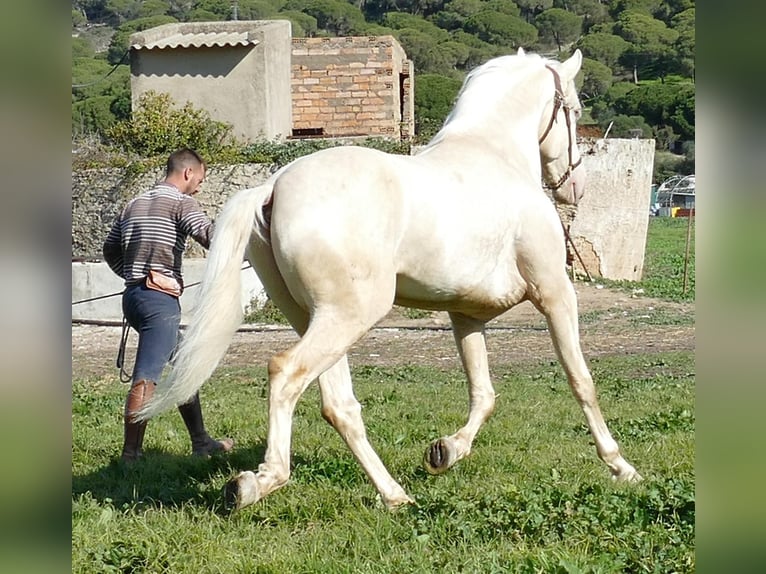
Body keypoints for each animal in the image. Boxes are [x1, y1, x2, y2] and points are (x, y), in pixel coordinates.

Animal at [138, 47, 640, 510]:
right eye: (574, 111)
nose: (574, 188)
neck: (494, 156)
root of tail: (274, 186)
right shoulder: (554, 292)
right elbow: (581, 380)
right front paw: (620, 466)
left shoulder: (466, 316)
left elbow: (484, 394)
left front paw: (445, 452)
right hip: (349, 316)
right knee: (286, 373)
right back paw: (257, 483)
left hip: (318, 320)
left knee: (338, 405)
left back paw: (394, 494)